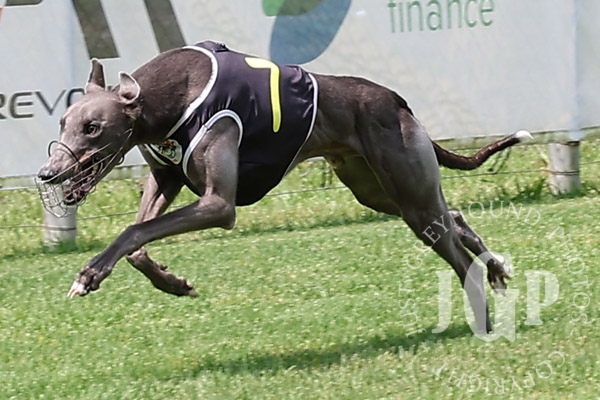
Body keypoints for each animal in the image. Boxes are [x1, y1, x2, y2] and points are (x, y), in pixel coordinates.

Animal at [37, 41, 531, 332]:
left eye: (93, 127)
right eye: (62, 122)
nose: (47, 174)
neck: (167, 97)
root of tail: (397, 101)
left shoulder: (218, 204)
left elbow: (133, 231)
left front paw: (89, 274)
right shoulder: (167, 178)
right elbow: (137, 244)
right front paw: (173, 283)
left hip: (406, 190)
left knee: (455, 253)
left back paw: (484, 318)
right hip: (376, 190)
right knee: (454, 216)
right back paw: (496, 267)